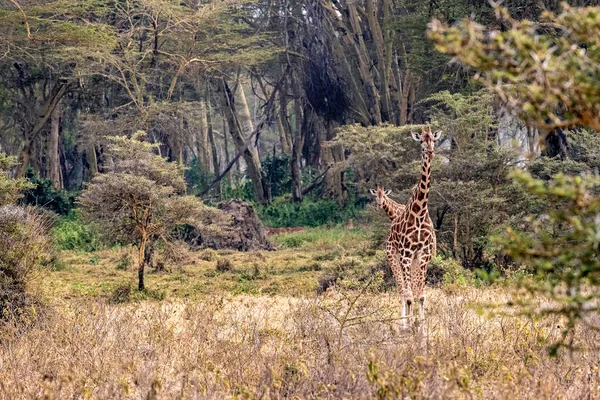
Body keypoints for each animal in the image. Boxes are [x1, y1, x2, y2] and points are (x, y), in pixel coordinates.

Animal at [384, 127, 440, 328]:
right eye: (421, 141)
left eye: (433, 140)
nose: (429, 152)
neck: (420, 211)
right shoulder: (406, 255)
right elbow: (408, 296)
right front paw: (408, 327)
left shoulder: (423, 254)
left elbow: (421, 296)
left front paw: (421, 327)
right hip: (393, 256)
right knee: (402, 291)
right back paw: (403, 324)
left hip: (415, 260)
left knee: (411, 291)